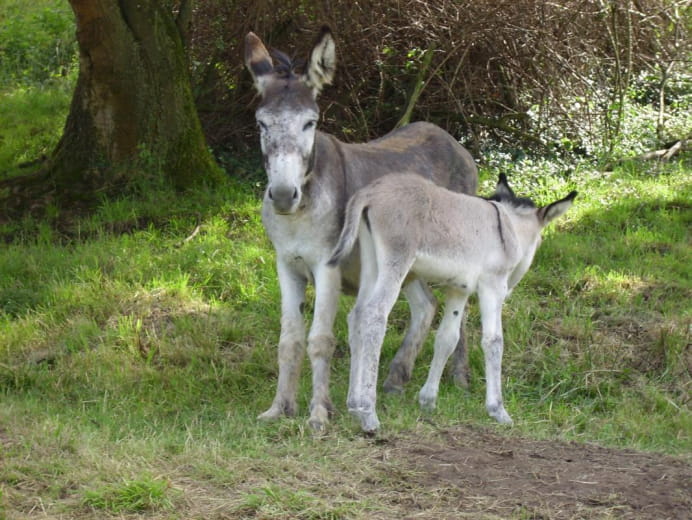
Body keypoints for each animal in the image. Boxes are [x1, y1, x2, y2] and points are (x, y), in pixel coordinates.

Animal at [328, 173, 576, 432]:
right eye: (539, 242)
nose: (512, 288)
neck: (509, 229)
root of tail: (371, 192)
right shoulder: (492, 286)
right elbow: (493, 342)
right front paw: (498, 410)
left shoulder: (459, 290)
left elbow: (447, 338)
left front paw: (428, 400)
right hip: (397, 260)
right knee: (374, 315)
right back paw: (368, 413)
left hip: (371, 260)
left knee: (357, 315)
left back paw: (354, 405)